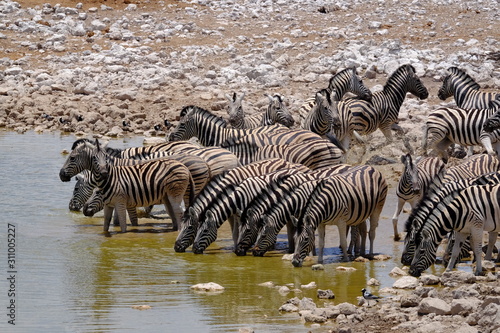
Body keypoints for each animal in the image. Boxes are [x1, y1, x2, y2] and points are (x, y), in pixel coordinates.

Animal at [175, 158, 308, 252]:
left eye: (190, 228)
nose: (176, 248)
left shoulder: (241, 213)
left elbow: (238, 231)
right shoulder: (232, 214)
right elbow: (235, 234)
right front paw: (236, 247)